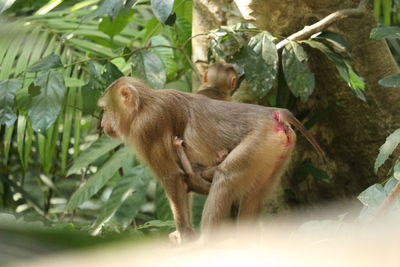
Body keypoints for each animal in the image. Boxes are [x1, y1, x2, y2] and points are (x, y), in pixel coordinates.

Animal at [97, 77, 324, 243]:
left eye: (106, 110)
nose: (101, 123)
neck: (143, 106)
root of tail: (274, 113)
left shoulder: (147, 127)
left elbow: (171, 177)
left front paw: (184, 234)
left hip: (259, 140)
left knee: (226, 178)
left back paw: (206, 242)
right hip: (277, 151)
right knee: (255, 194)